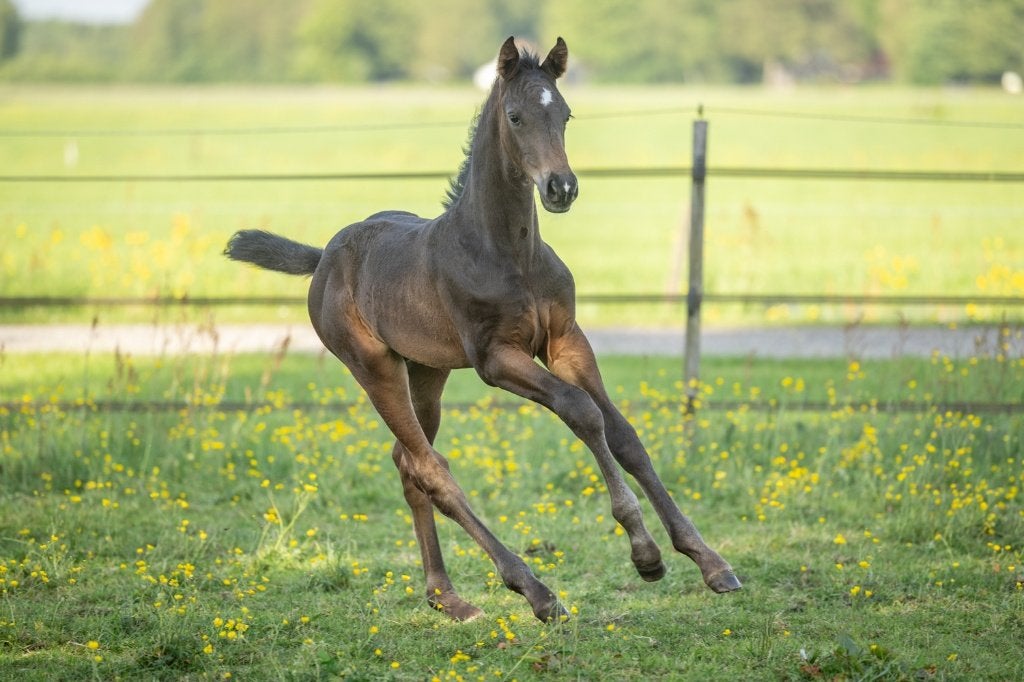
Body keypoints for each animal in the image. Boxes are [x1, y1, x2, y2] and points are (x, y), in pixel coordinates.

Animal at [225, 37, 740, 623]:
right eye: (515, 116)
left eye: (565, 114)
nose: (561, 188)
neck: (509, 252)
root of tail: (326, 255)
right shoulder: (497, 359)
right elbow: (582, 412)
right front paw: (643, 550)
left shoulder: (567, 341)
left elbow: (624, 435)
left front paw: (708, 560)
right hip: (372, 366)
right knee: (431, 468)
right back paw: (534, 590)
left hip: (427, 371)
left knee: (407, 462)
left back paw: (446, 596)